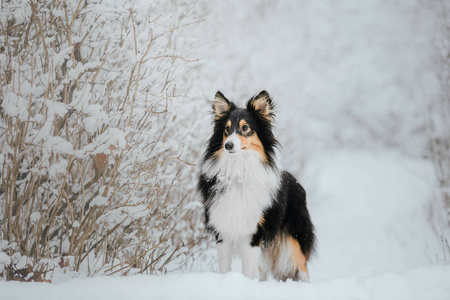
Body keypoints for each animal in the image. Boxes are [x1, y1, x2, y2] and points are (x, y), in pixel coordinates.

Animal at [197, 91, 316, 282]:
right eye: (226, 129)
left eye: (245, 127)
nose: (228, 145)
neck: (238, 171)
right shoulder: (222, 231)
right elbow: (225, 268)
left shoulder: (253, 234)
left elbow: (247, 270)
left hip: (296, 241)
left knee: (303, 268)